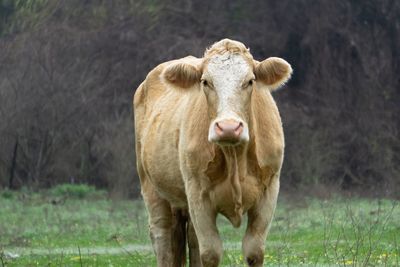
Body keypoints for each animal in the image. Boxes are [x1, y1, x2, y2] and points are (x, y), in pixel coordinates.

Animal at [133, 38, 292, 267]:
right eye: (205, 82)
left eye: (250, 81)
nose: (228, 127)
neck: (235, 157)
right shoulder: (198, 194)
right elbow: (211, 253)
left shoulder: (269, 189)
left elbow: (254, 251)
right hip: (151, 187)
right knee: (162, 237)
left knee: (191, 239)